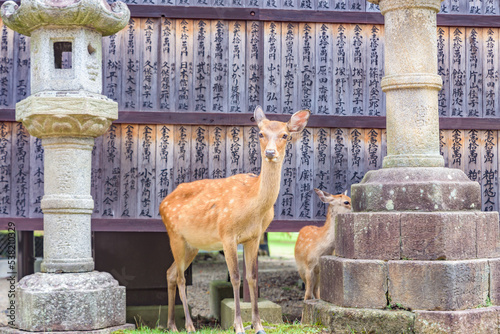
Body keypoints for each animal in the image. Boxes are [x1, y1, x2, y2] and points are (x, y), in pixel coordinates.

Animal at [160, 106, 310, 334]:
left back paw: (171, 325)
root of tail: (161, 203)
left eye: (285, 135)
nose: (270, 153)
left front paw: (258, 325)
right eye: (260, 133)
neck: (252, 206)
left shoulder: (254, 237)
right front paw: (238, 325)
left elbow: (252, 277)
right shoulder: (227, 234)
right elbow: (236, 278)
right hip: (174, 235)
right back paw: (189, 325)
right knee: (180, 277)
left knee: (170, 273)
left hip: (192, 244)